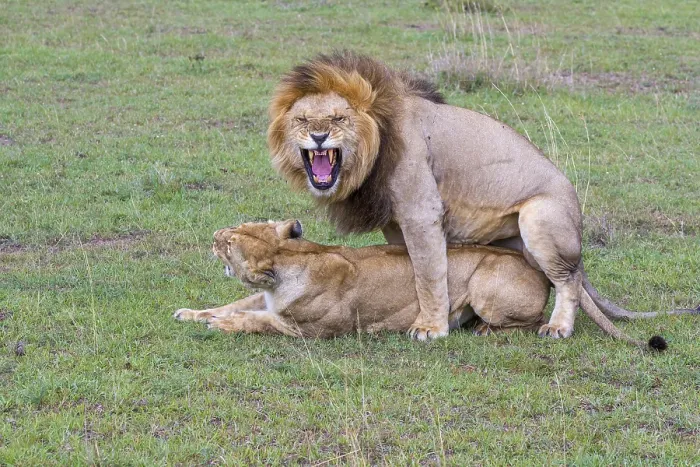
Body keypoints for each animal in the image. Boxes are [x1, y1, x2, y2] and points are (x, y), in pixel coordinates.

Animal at [174, 220, 665, 349]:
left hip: (486, 282)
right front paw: (192, 312)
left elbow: (253, 320)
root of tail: (526, 257)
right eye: (238, 228)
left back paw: (483, 329)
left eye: (229, 244)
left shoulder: (308, 331)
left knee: (528, 323)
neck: (297, 258)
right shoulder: (264, 296)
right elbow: (232, 302)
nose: (214, 235)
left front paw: (222, 325)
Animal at [262, 51, 697, 341]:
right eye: (302, 119)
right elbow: (415, 271)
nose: (319, 136)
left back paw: (557, 327)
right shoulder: (396, 223)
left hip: (540, 218)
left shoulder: (421, 212)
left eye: (338, 118)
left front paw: (431, 328)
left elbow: (430, 273)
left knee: (568, 280)